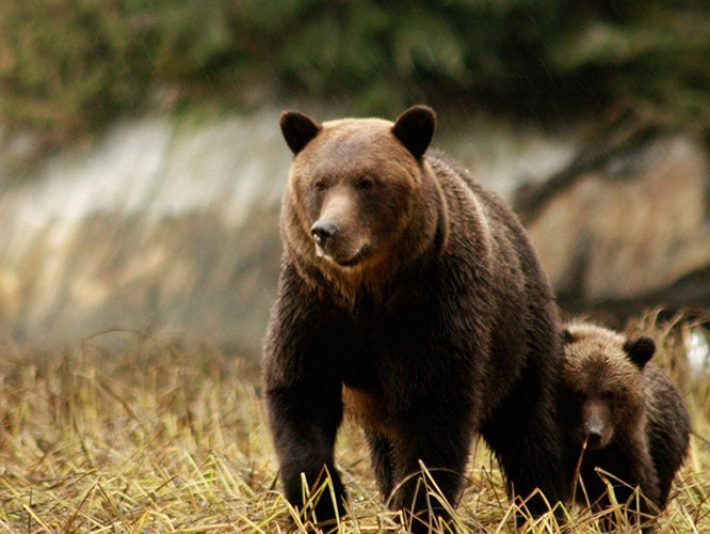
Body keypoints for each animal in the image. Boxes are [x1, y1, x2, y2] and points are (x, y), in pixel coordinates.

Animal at [262, 105, 568, 534]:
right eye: (319, 183)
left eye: (367, 182)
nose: (327, 231)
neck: (366, 291)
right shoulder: (314, 308)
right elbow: (300, 395)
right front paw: (320, 504)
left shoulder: (430, 312)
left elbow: (431, 413)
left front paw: (421, 511)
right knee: (384, 448)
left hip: (520, 332)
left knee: (527, 426)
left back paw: (541, 508)